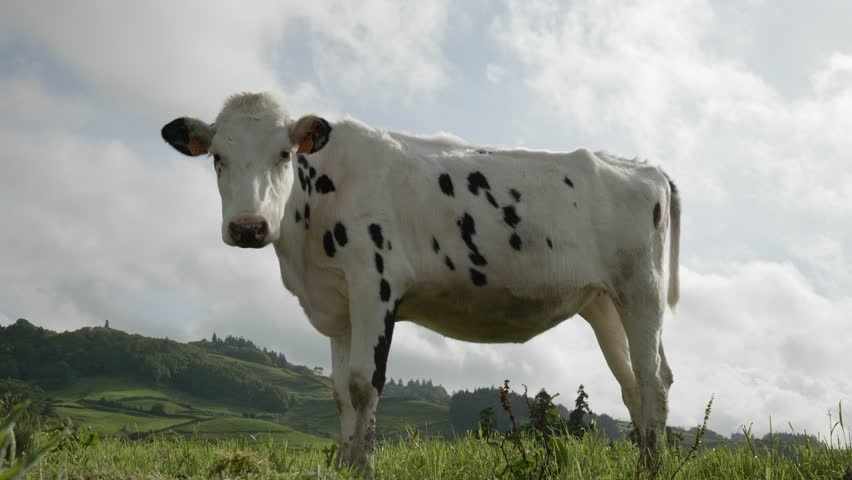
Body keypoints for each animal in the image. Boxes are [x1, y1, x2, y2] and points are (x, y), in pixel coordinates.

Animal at [161, 92, 681, 475]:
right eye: (217, 157)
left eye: (284, 154)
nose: (249, 227)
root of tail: (646, 167)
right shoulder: (339, 306)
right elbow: (339, 391)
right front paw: (345, 466)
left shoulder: (374, 285)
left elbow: (363, 384)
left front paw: (364, 468)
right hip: (604, 302)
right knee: (633, 384)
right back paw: (642, 466)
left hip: (643, 290)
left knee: (653, 380)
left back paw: (654, 469)